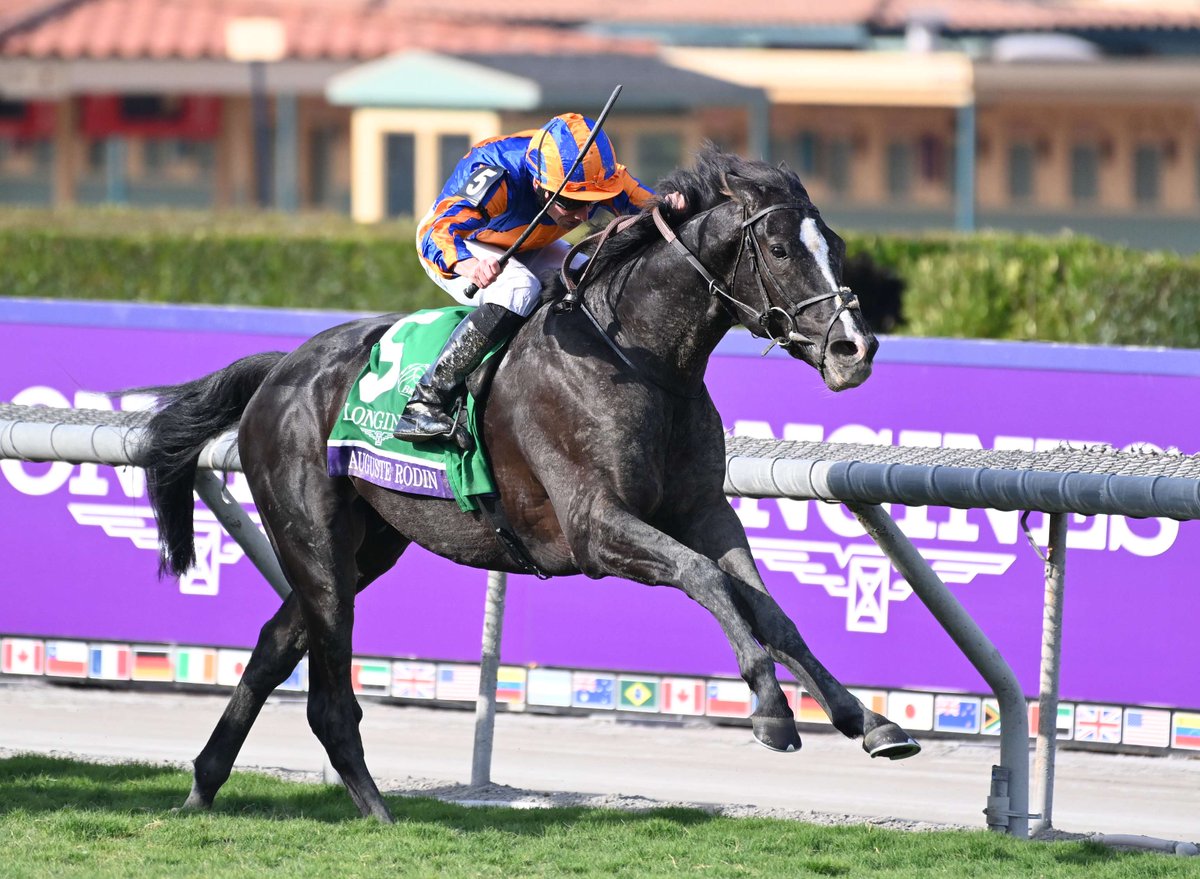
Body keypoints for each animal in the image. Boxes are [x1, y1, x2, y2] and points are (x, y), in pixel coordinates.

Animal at [137, 146, 920, 823]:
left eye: (836, 246)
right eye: (782, 251)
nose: (855, 349)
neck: (641, 360)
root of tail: (281, 368)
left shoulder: (703, 509)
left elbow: (766, 605)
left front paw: (868, 719)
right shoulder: (594, 527)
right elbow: (705, 579)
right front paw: (770, 707)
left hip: (367, 546)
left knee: (276, 643)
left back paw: (204, 785)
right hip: (316, 538)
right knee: (326, 691)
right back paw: (378, 811)